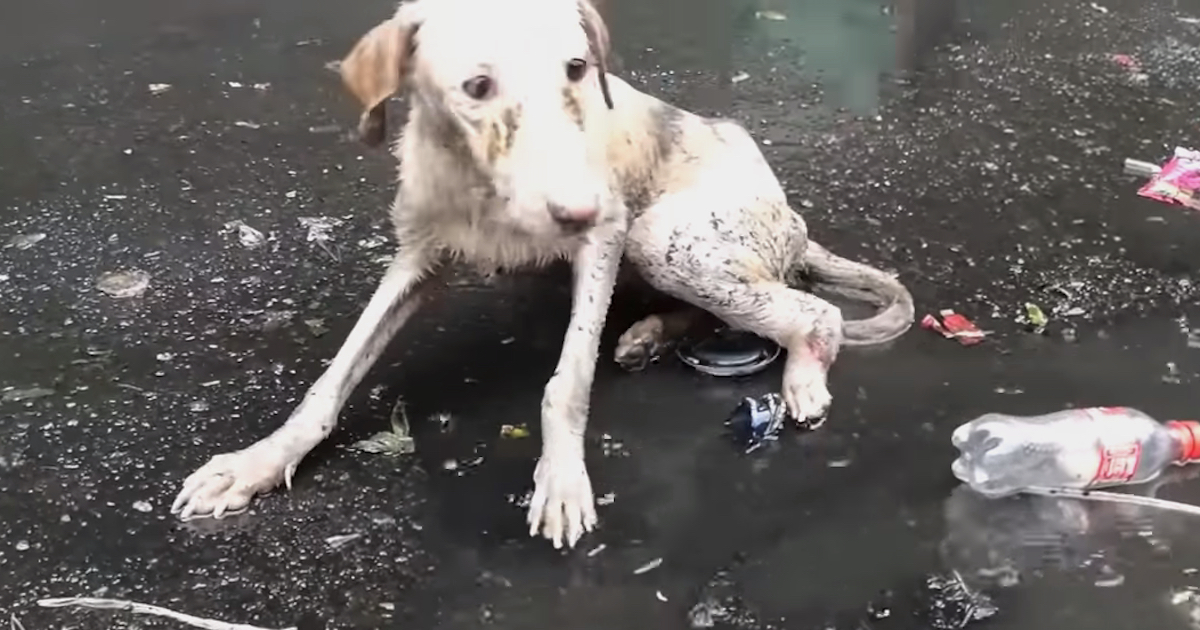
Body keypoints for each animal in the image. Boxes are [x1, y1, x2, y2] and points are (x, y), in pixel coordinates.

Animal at [169, 0, 912, 544]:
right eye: (477, 86)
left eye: (577, 68)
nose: (578, 207)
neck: (480, 188)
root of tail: (796, 221)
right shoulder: (416, 259)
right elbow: (332, 379)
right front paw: (260, 461)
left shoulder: (604, 239)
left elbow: (568, 382)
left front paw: (560, 479)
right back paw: (651, 334)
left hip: (663, 236)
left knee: (810, 310)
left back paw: (801, 374)